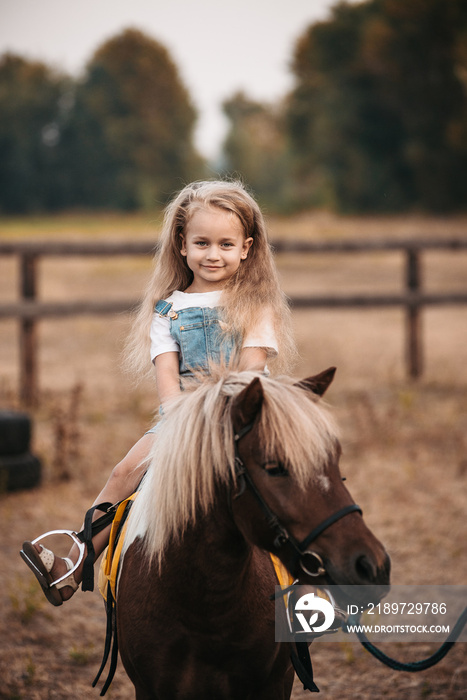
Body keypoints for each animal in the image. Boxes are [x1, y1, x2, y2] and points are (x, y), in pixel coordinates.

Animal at [116, 370, 392, 696]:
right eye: (274, 468)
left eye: (334, 459)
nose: (373, 566)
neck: (205, 607)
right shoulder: (149, 689)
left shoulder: (276, 682)